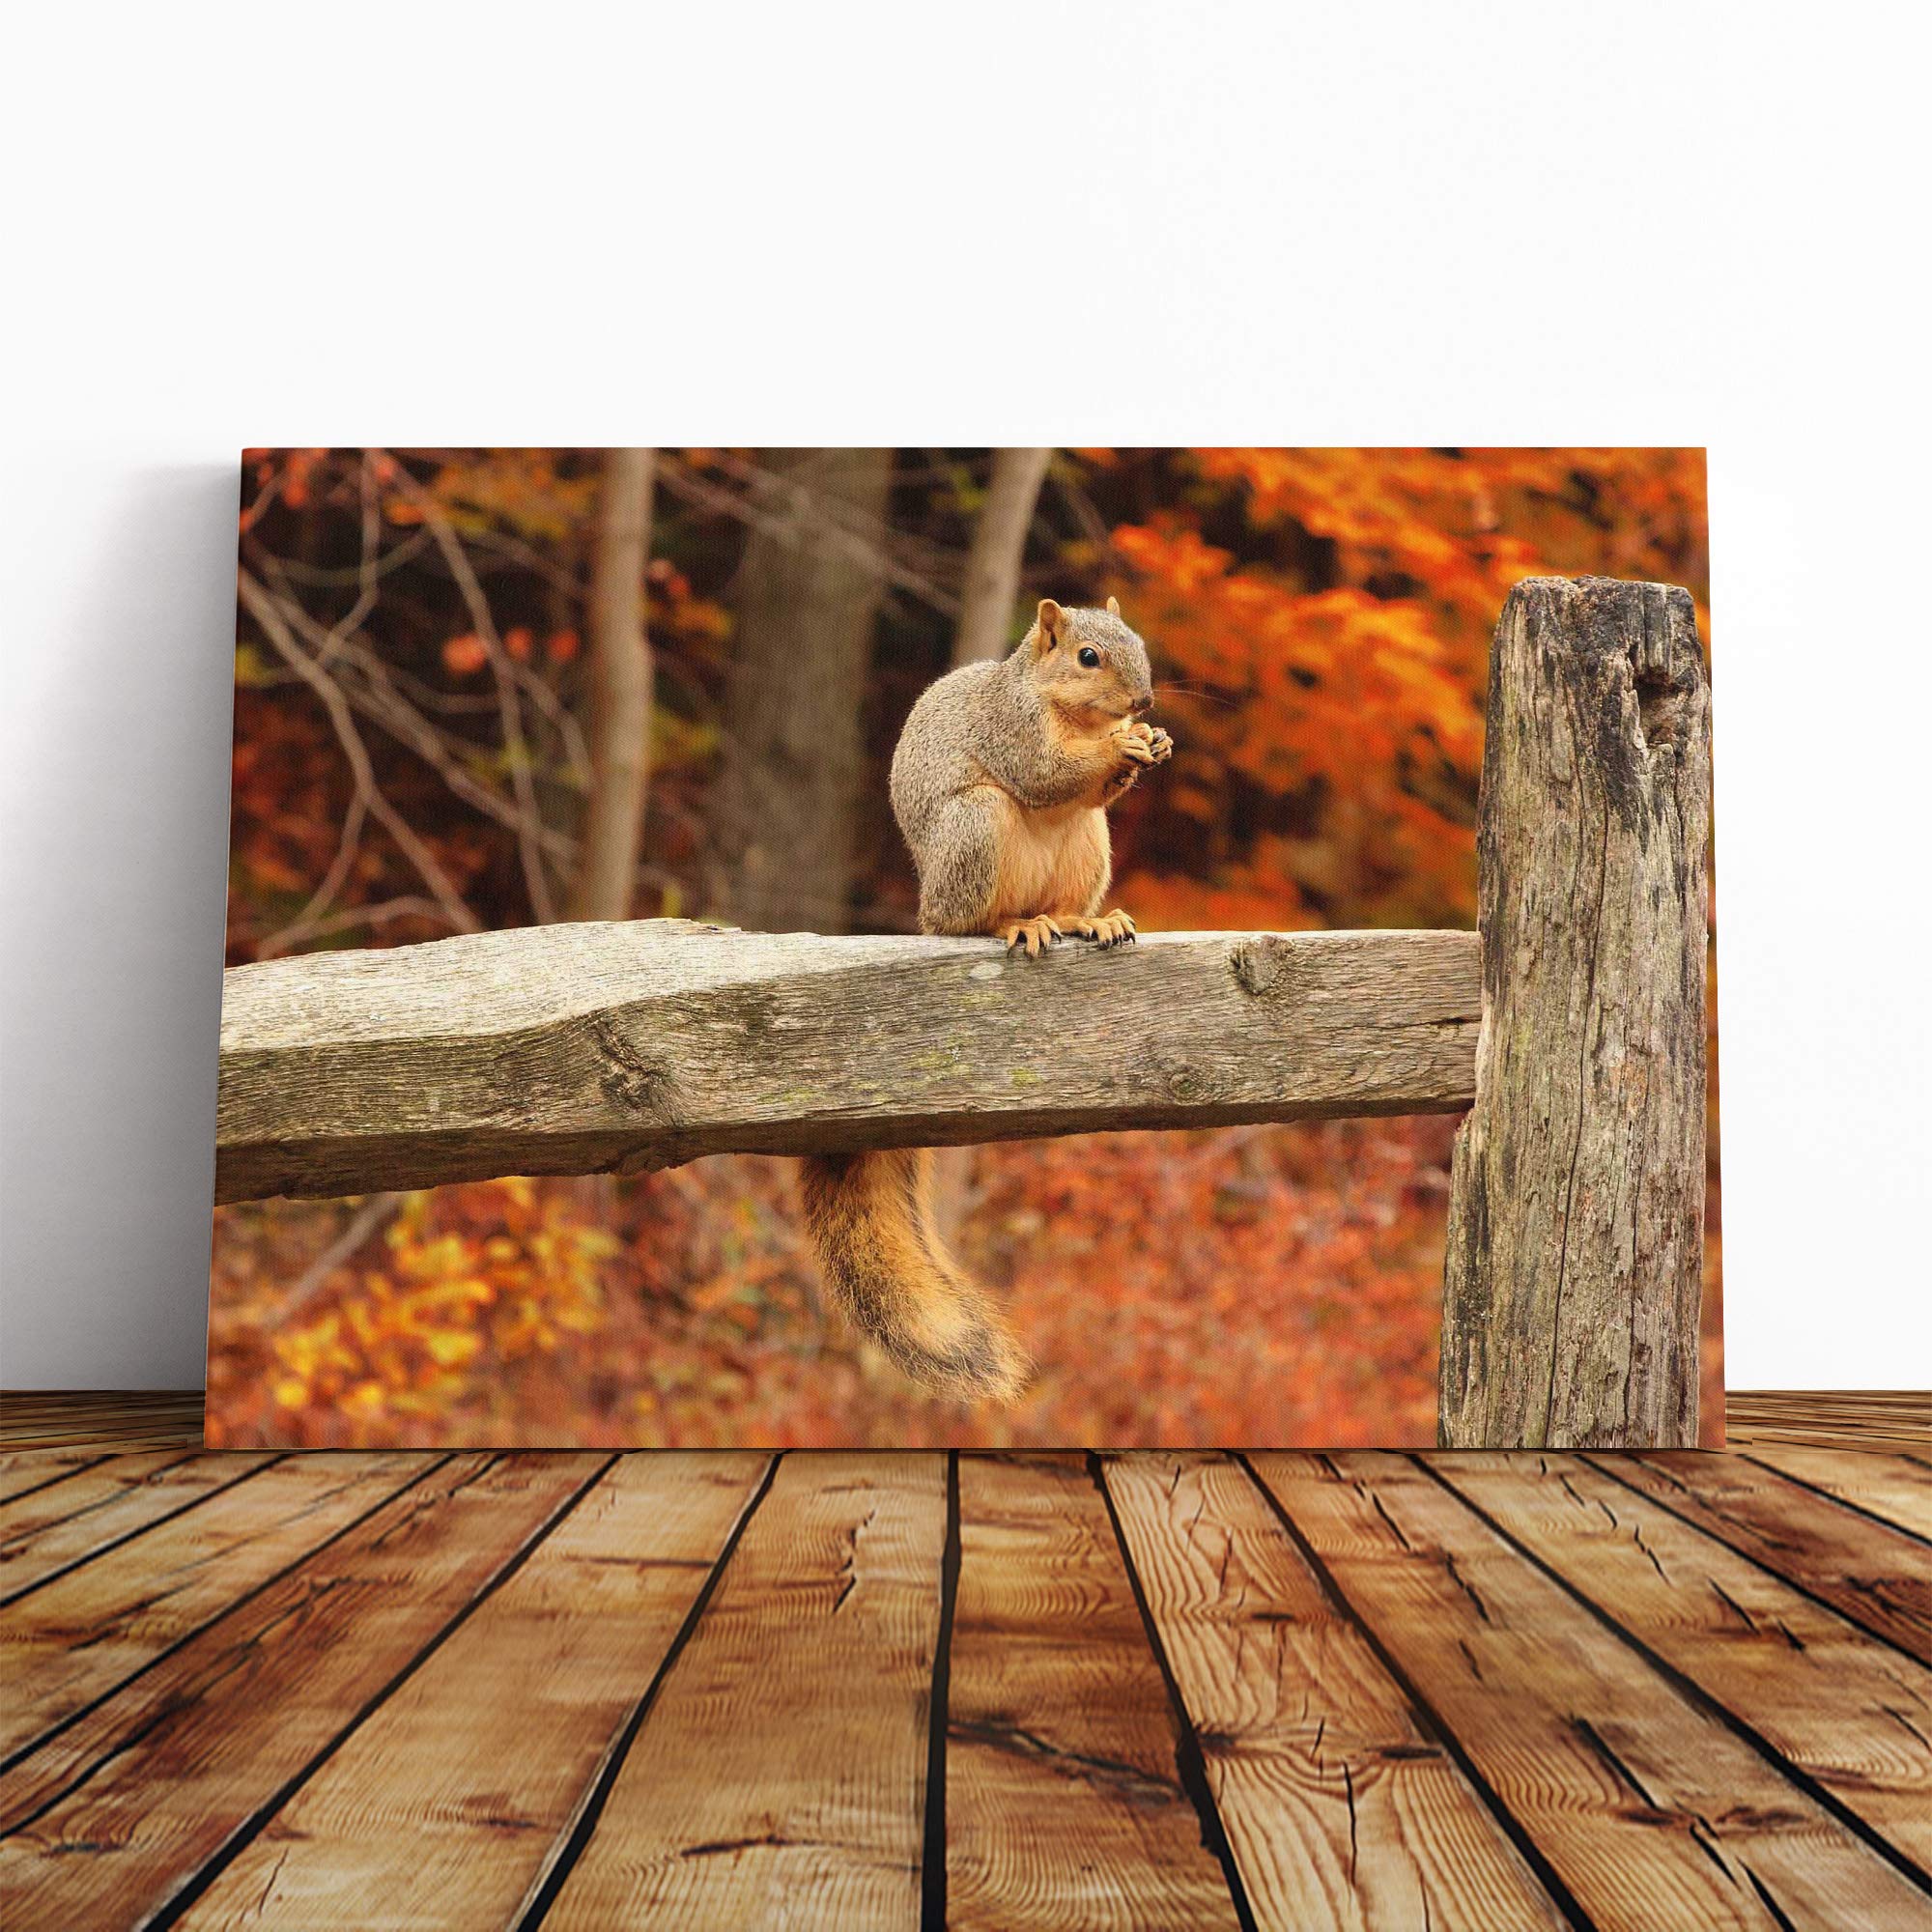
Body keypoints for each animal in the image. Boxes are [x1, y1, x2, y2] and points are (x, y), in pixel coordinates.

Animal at [799, 597, 1172, 1403]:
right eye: (1089, 656)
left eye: (1138, 643)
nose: (1144, 703)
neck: (1062, 706)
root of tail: (928, 905)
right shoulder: (1012, 731)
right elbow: (1048, 772)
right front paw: (1123, 743)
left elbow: (1094, 785)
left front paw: (1151, 743)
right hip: (976, 828)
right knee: (974, 921)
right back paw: (1015, 924)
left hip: (1089, 844)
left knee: (1068, 888)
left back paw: (1088, 919)